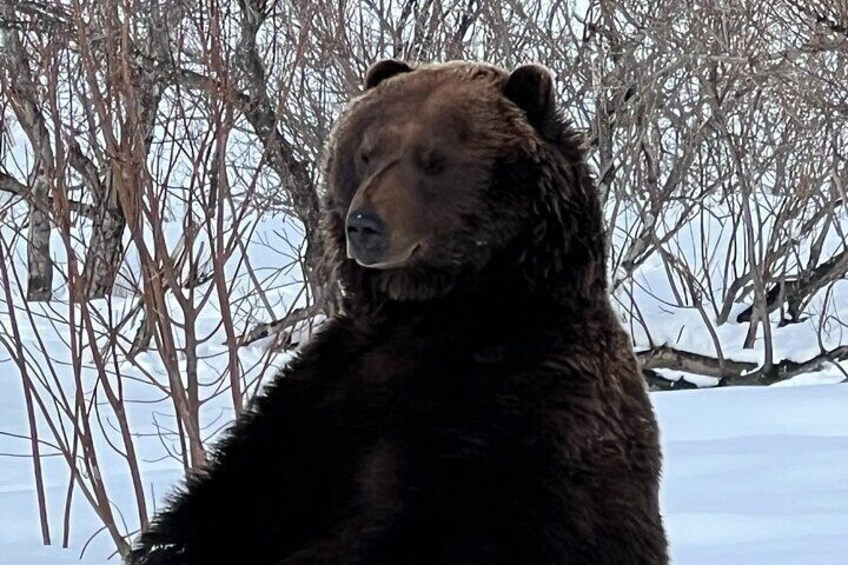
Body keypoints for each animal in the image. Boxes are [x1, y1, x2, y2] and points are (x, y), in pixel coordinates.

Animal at [126, 60, 668, 564]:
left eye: (434, 159)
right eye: (366, 152)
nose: (364, 224)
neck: (434, 311)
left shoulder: (521, 405)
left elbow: (442, 519)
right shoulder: (322, 395)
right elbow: (221, 506)